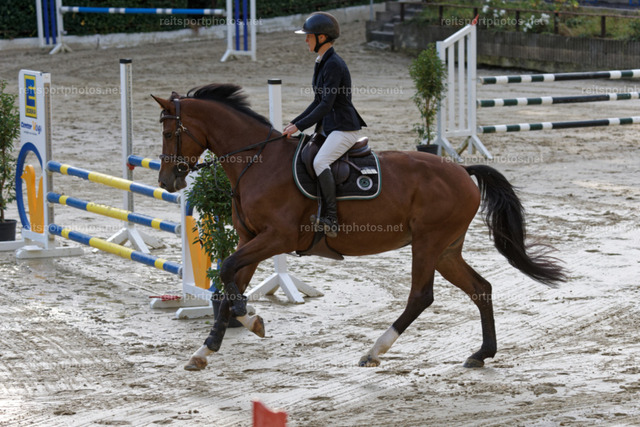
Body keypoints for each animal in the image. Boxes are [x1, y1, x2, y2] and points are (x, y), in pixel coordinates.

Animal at [151, 84, 566, 371]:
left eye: (171, 133)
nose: (167, 181)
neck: (258, 161)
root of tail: (463, 171)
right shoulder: (250, 238)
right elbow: (227, 283)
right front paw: (208, 348)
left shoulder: (276, 238)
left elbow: (225, 272)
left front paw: (246, 321)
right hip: (447, 249)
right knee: (481, 288)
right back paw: (481, 353)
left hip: (428, 243)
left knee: (421, 296)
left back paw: (375, 350)